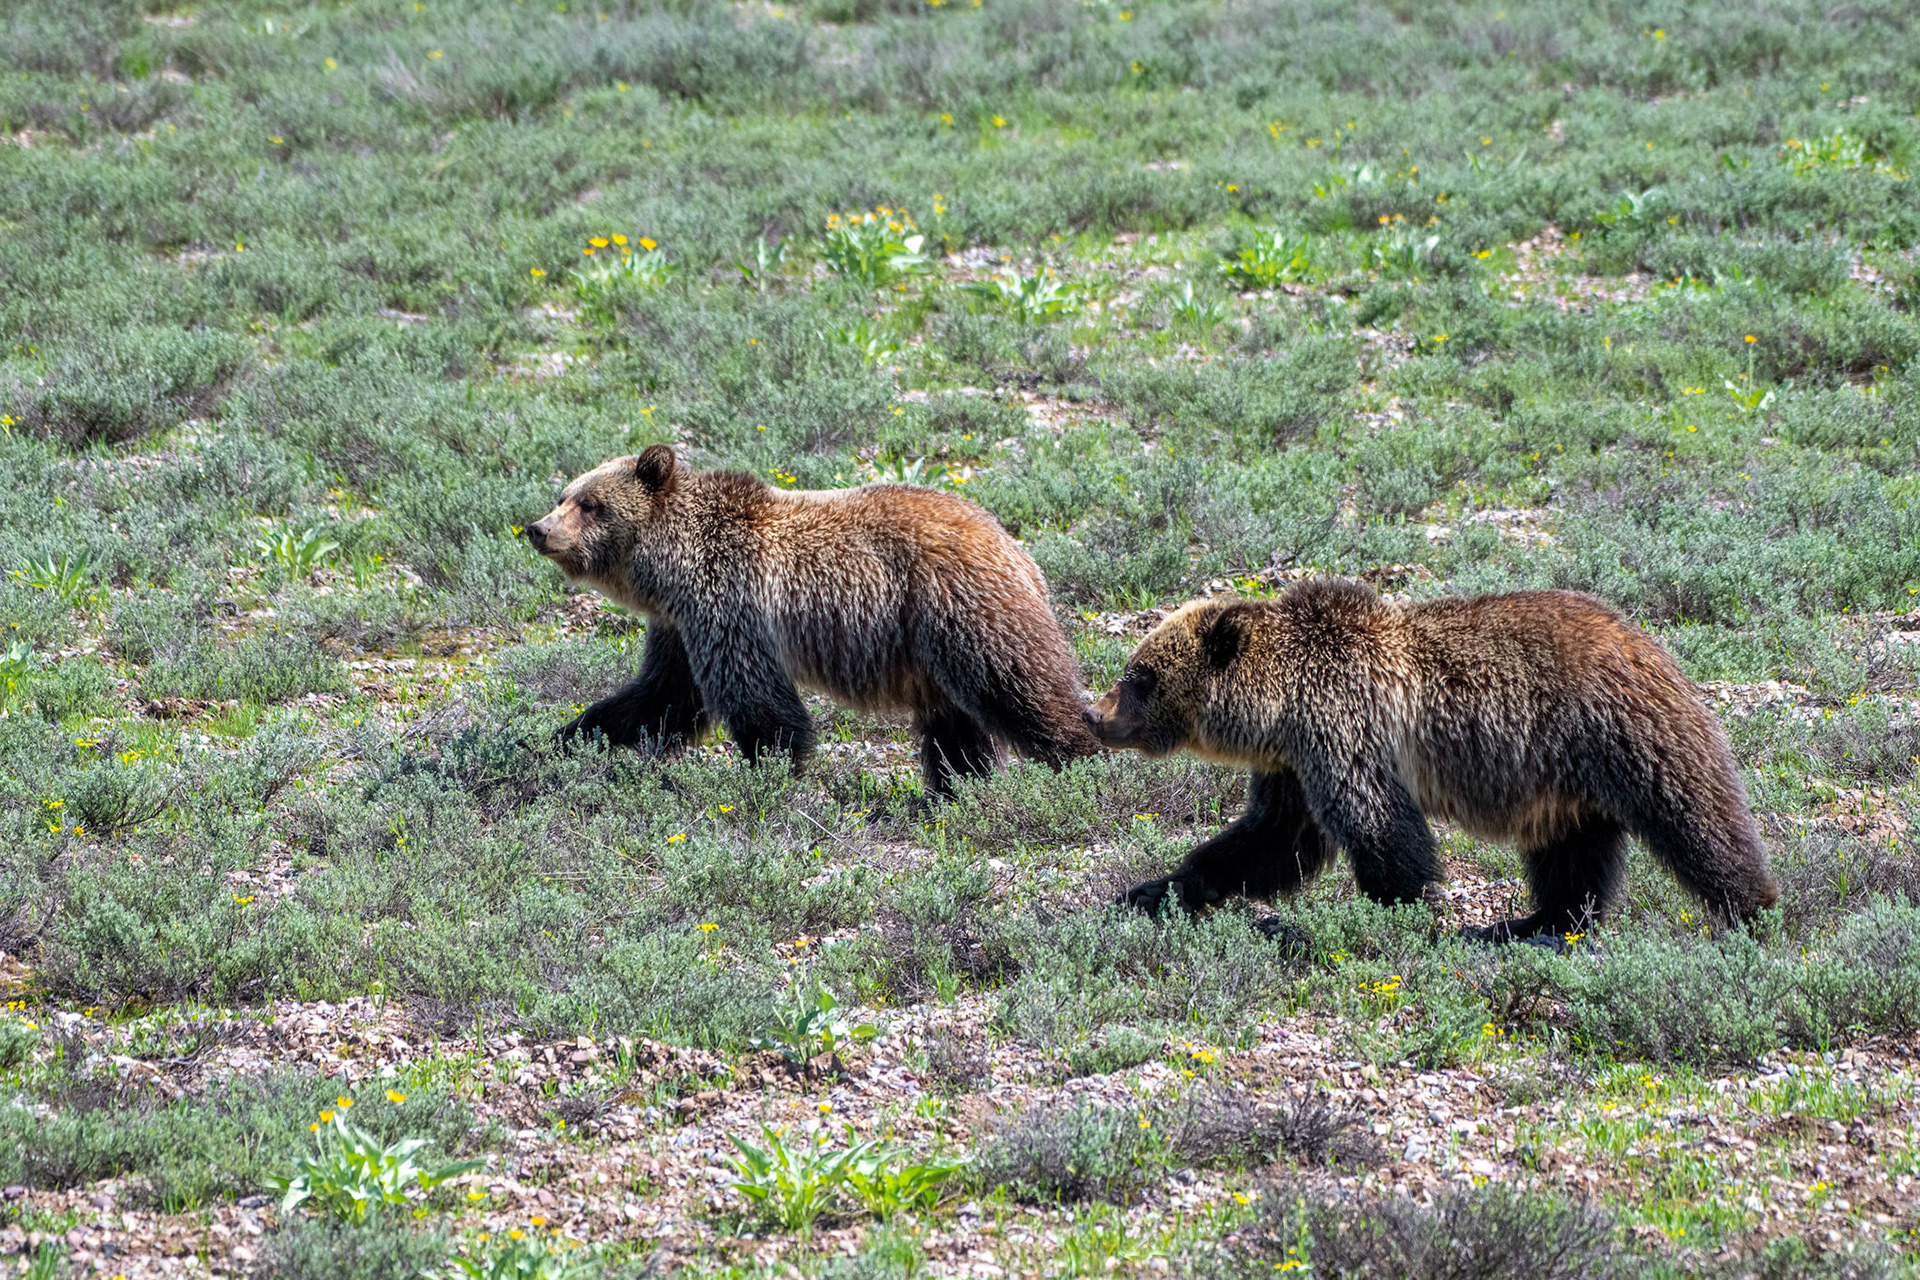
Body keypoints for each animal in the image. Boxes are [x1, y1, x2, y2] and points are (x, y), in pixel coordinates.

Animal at [526, 444, 1103, 797]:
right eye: (563, 496)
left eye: (591, 503)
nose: (538, 528)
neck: (673, 569)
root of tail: (1016, 547)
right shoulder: (681, 626)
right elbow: (661, 698)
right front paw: (561, 739)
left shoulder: (731, 604)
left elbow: (759, 705)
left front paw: (769, 778)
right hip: (935, 651)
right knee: (955, 726)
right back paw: (955, 791)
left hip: (964, 614)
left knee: (1022, 693)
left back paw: (1086, 765)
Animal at [1083, 579, 1778, 943]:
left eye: (1140, 676)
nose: (1095, 713)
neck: (1279, 707)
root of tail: (1650, 641)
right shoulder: (1294, 765)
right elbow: (1272, 840)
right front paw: (1157, 889)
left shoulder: (1345, 728)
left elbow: (1381, 830)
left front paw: (1394, 916)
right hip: (1565, 782)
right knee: (1572, 854)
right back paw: (1532, 924)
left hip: (1623, 733)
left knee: (1696, 820)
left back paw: (1752, 912)